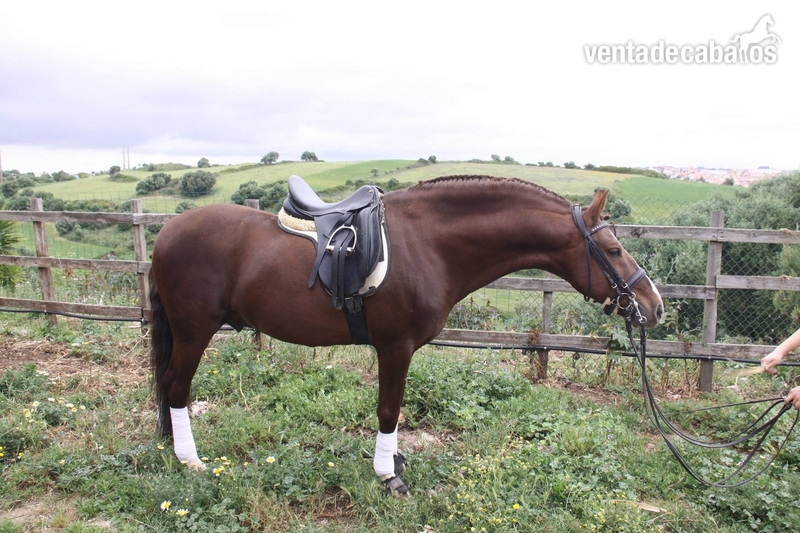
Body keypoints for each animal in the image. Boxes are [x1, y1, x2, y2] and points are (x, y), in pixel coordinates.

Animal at [149, 175, 664, 494]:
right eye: (613, 250)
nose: (654, 307)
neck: (430, 243)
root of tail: (166, 232)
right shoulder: (395, 346)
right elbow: (389, 410)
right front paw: (388, 475)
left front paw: (393, 464)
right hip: (194, 331)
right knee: (176, 387)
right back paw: (189, 460)